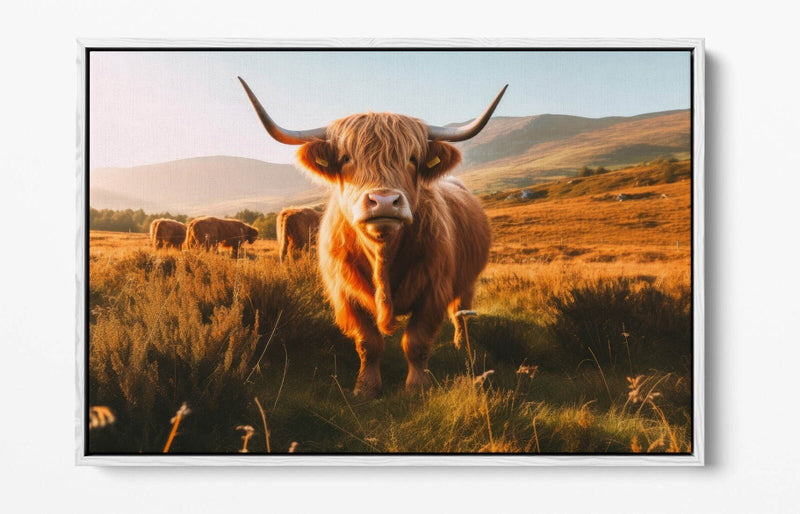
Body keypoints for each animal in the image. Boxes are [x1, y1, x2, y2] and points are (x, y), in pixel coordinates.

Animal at [240, 77, 505, 399]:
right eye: (345, 158)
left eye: (412, 158)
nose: (384, 201)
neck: (383, 254)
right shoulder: (344, 293)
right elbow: (368, 342)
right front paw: (365, 387)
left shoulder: (433, 290)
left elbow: (416, 342)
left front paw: (418, 386)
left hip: (467, 280)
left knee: (461, 313)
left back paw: (461, 345)